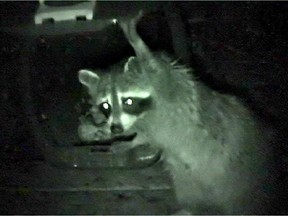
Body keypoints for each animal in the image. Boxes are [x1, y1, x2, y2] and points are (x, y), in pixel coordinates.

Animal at [77, 13, 276, 214]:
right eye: (105, 106)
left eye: (128, 101)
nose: (116, 129)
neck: (146, 113)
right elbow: (143, 135)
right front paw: (125, 138)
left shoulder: (169, 86)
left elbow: (154, 66)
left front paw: (136, 41)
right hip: (187, 178)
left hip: (239, 179)